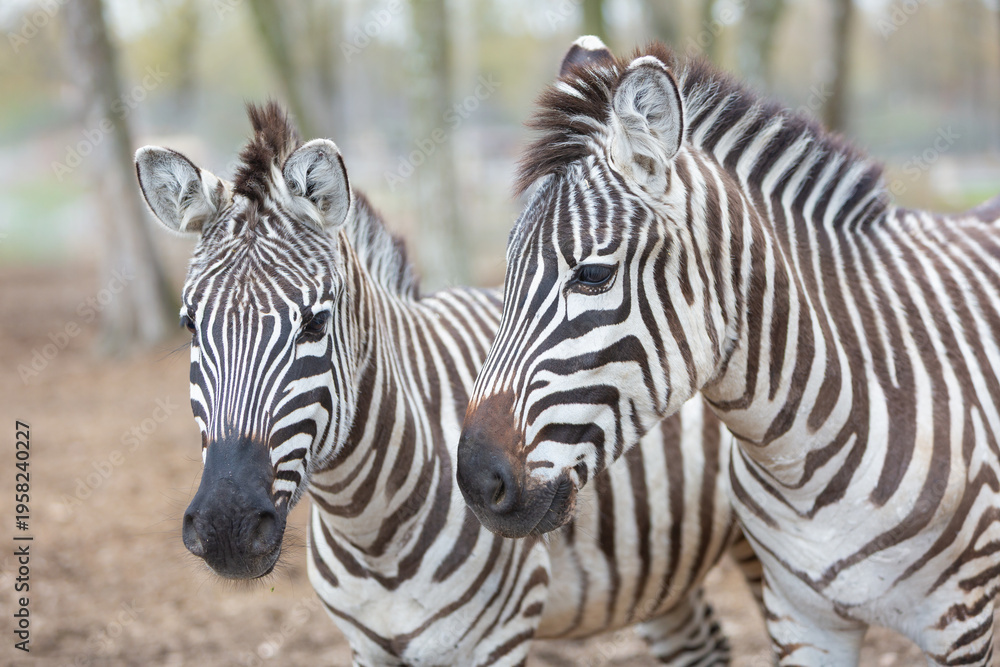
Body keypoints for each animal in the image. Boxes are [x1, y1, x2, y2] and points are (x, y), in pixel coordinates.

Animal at [134, 102, 760, 666]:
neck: (367, 523)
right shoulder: (368, 647)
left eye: (314, 322)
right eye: (190, 325)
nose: (228, 527)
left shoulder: (494, 639)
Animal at [457, 36, 1000, 666]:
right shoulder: (801, 620)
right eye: (507, 276)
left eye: (592, 275)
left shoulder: (961, 622)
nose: (476, 483)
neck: (802, 457)